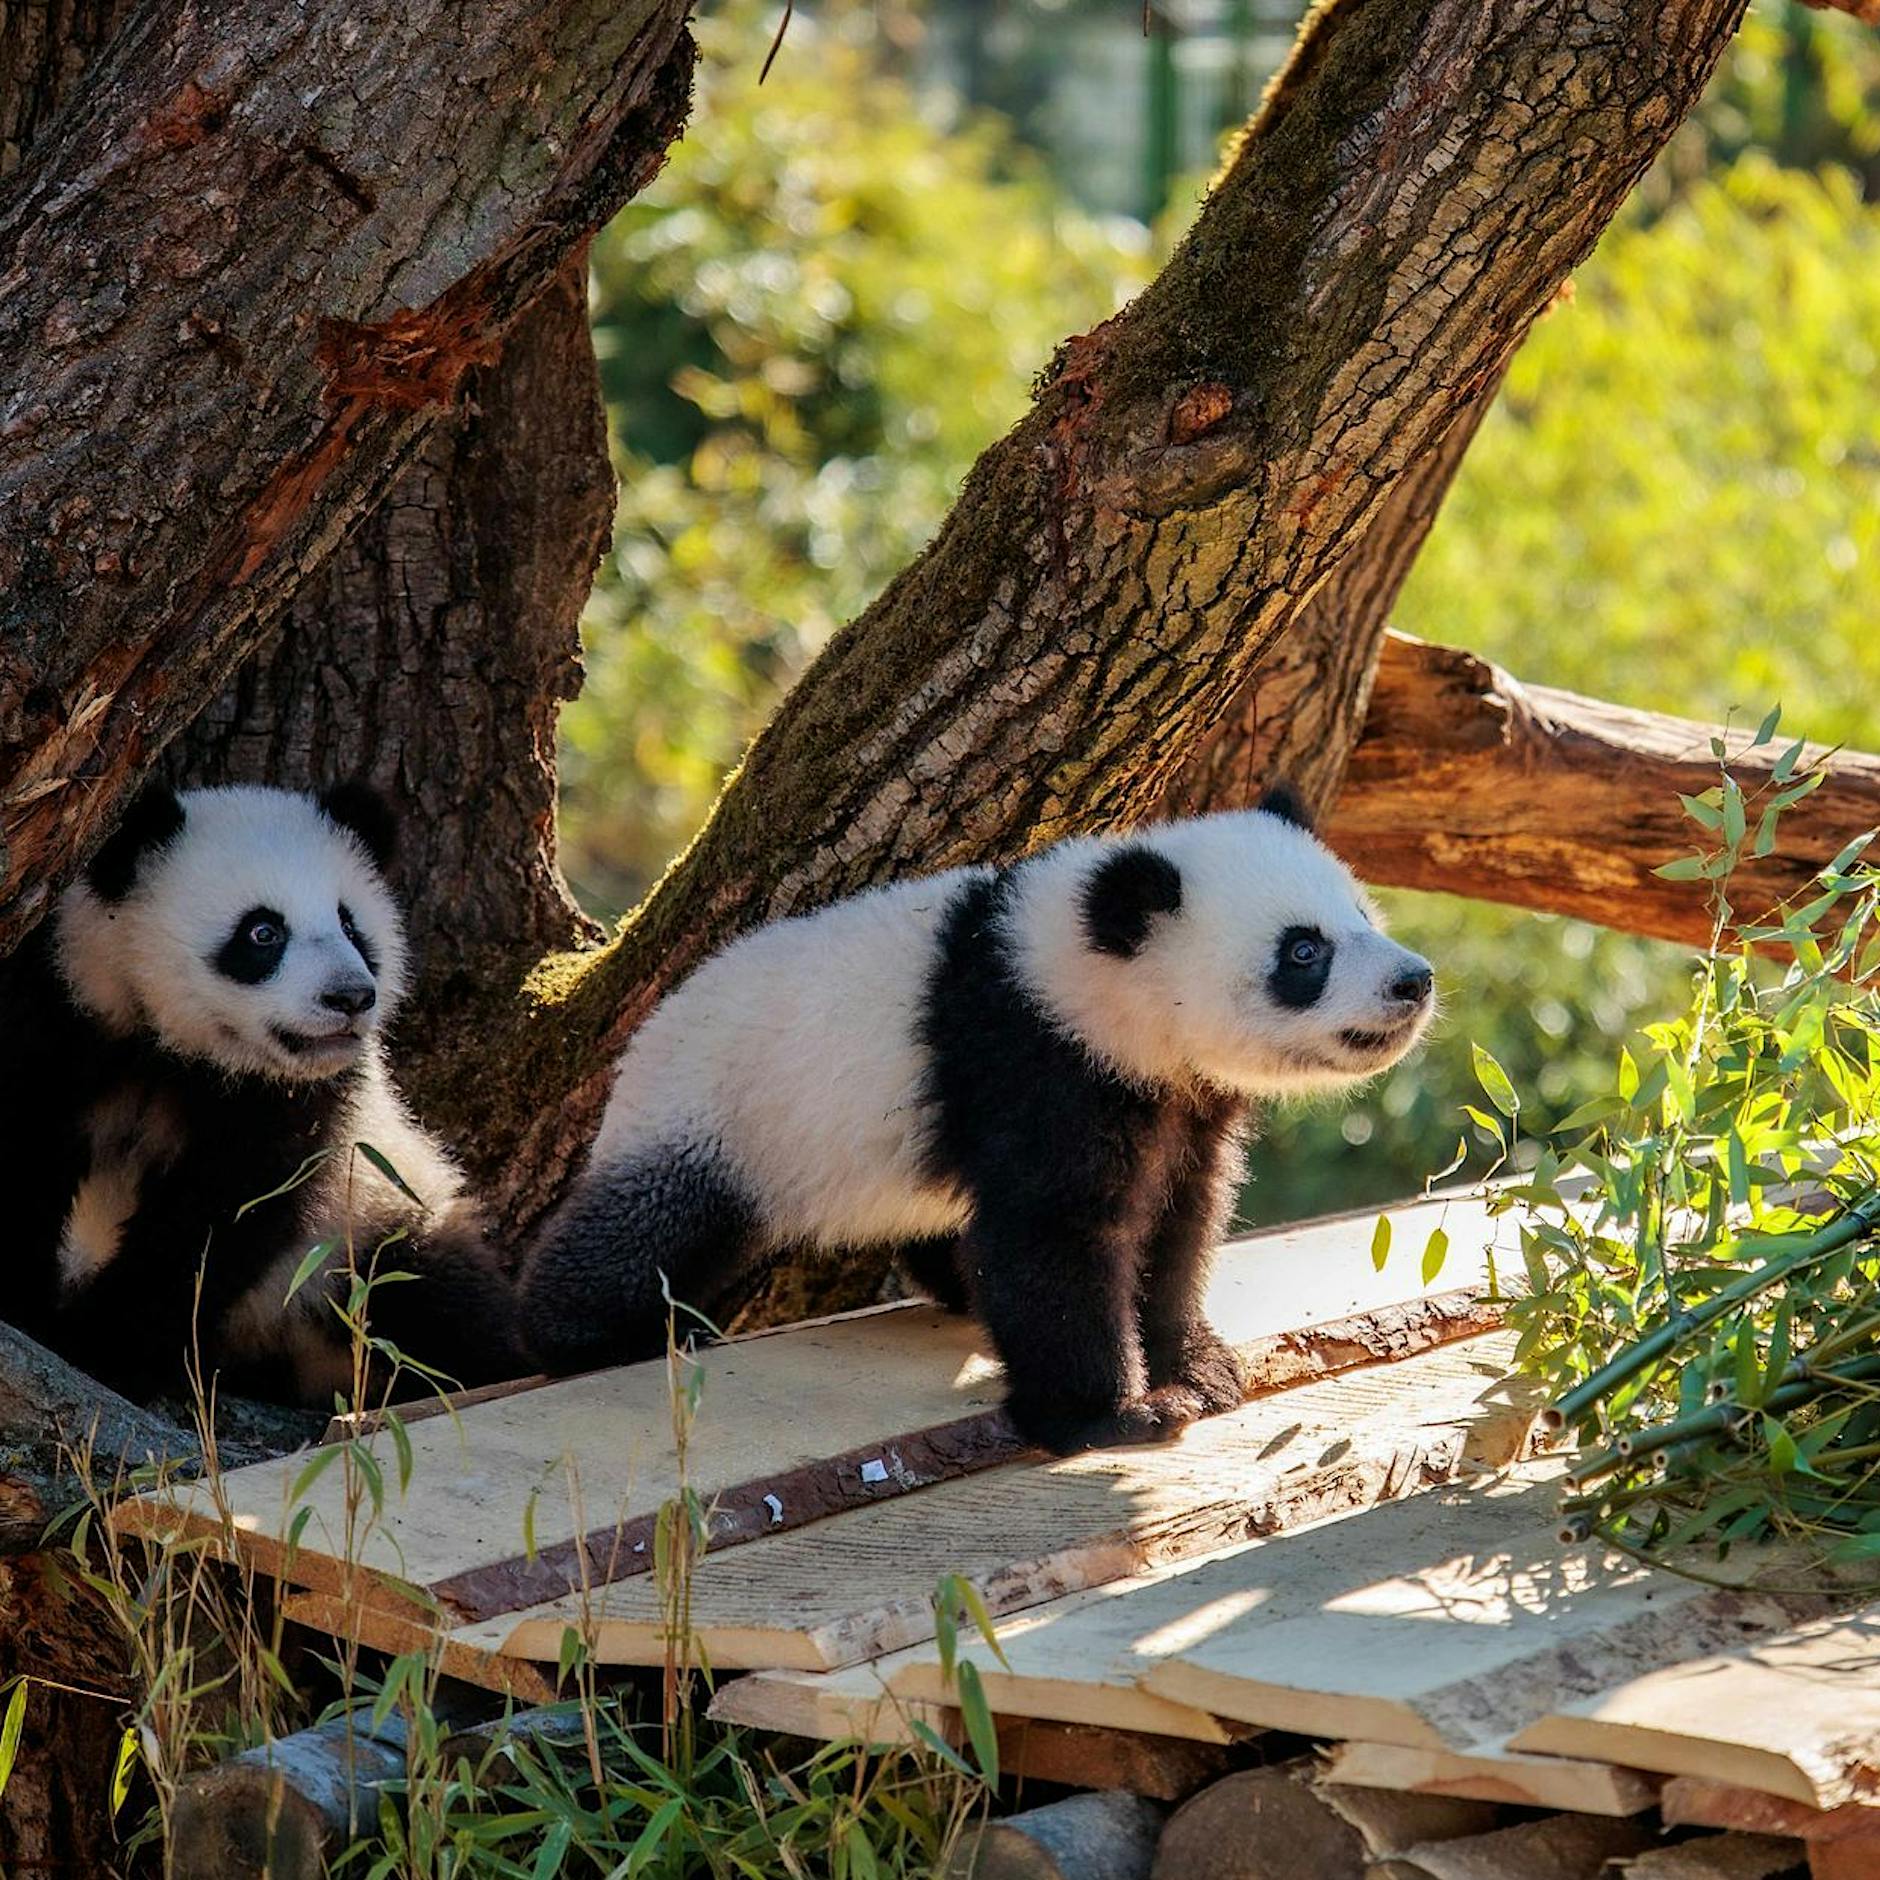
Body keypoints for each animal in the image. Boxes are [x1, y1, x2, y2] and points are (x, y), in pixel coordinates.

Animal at [0, 781, 523, 1406]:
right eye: (263, 932)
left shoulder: (295, 1105)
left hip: (372, 1226)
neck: (174, 1046)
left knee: (434, 1298)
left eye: (351, 926)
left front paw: (106, 1345)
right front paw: (35, 1310)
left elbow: (224, 1218)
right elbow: (26, 1151)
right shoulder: (67, 1017)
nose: (349, 997)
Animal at [518, 790, 1434, 1455]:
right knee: (644, 1230)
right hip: (716, 1114)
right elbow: (1054, 1237)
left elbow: (1180, 1222)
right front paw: (1109, 1414)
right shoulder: (1032, 1056)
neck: (1088, 975)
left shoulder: (1175, 1096)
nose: (1413, 980)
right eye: (1304, 951)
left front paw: (1201, 1369)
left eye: (1363, 914)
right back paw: (578, 1331)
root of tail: (640, 1041)